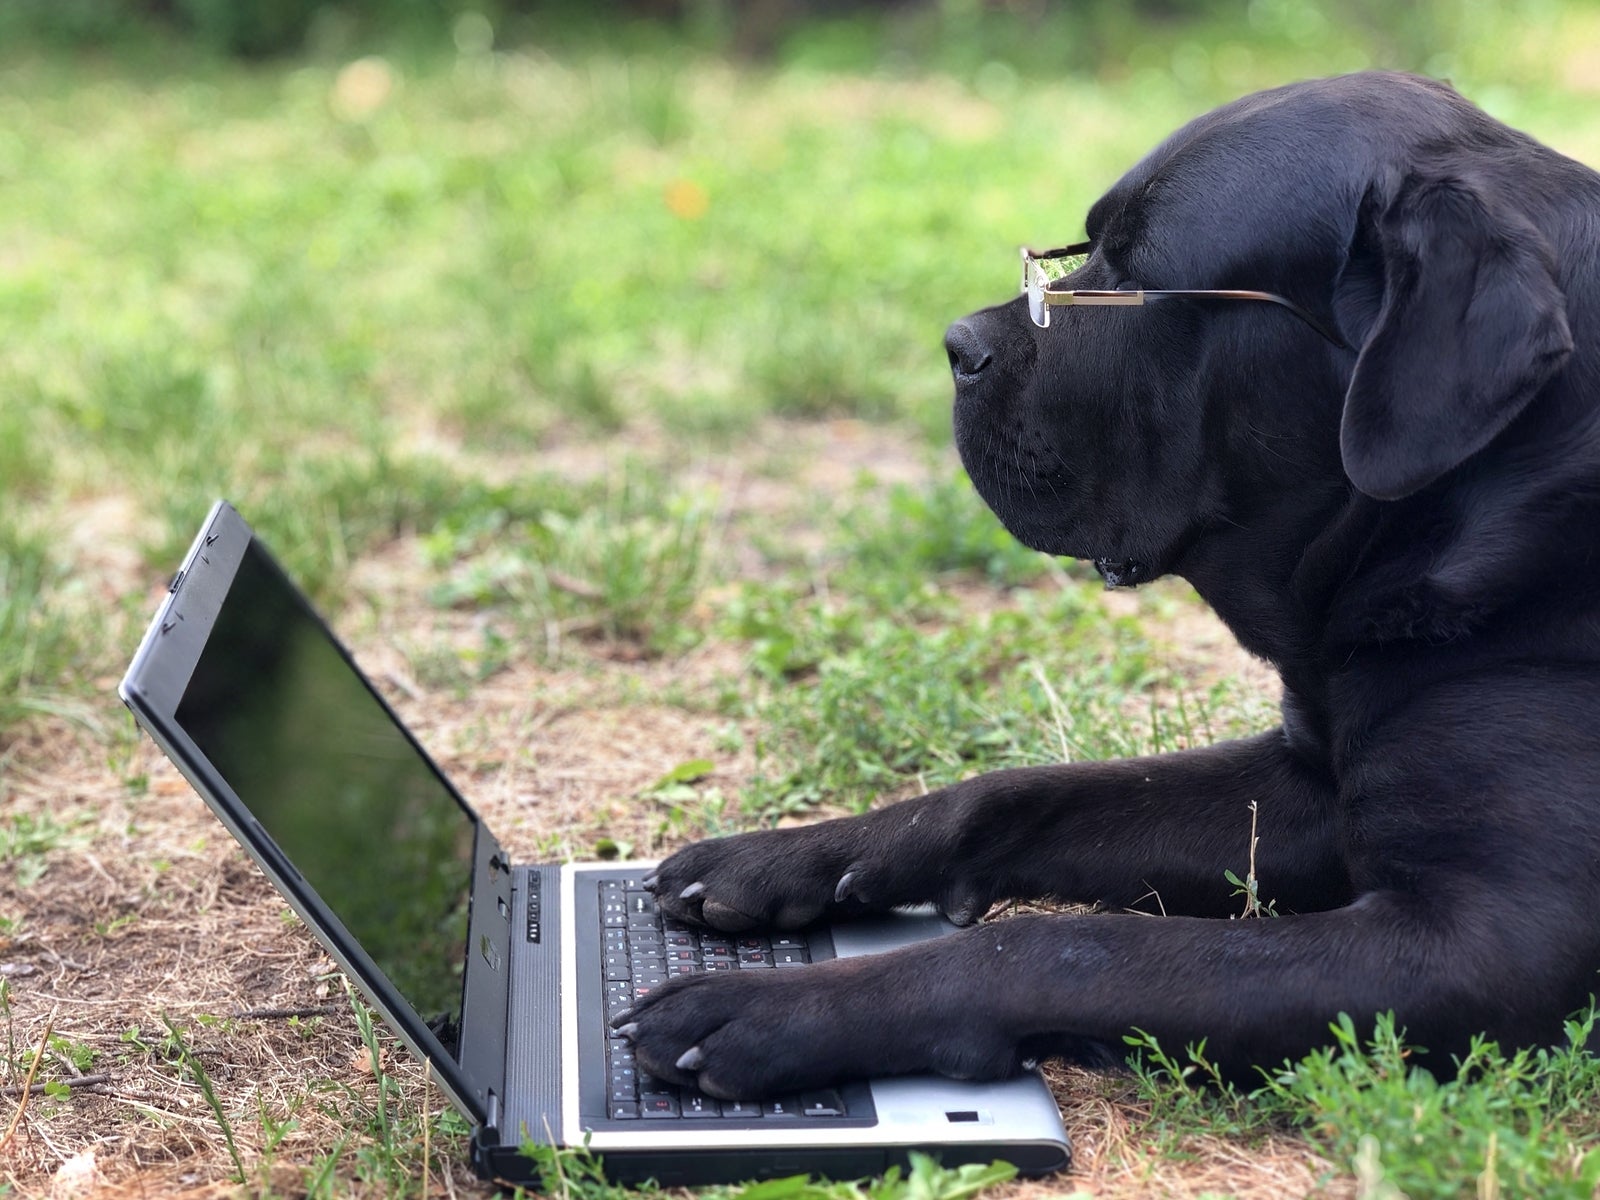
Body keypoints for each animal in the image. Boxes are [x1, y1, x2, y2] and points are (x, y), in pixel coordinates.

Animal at [617, 72, 1600, 1100]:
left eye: (1138, 276)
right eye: (1085, 249)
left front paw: (767, 1007)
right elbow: (1009, 794)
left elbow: (1062, 947)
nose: (956, 345)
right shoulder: (1304, 785)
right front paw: (784, 855)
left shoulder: (1484, 940)